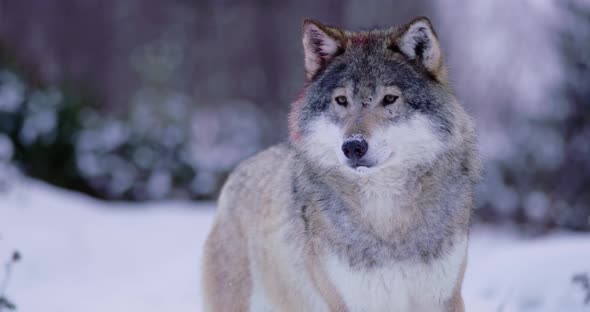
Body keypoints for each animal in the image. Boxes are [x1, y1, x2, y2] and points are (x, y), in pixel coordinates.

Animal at [202, 17, 480, 312]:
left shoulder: (443, 298)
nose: (353, 146)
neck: (386, 218)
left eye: (389, 98)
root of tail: (240, 170)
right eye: (341, 100)